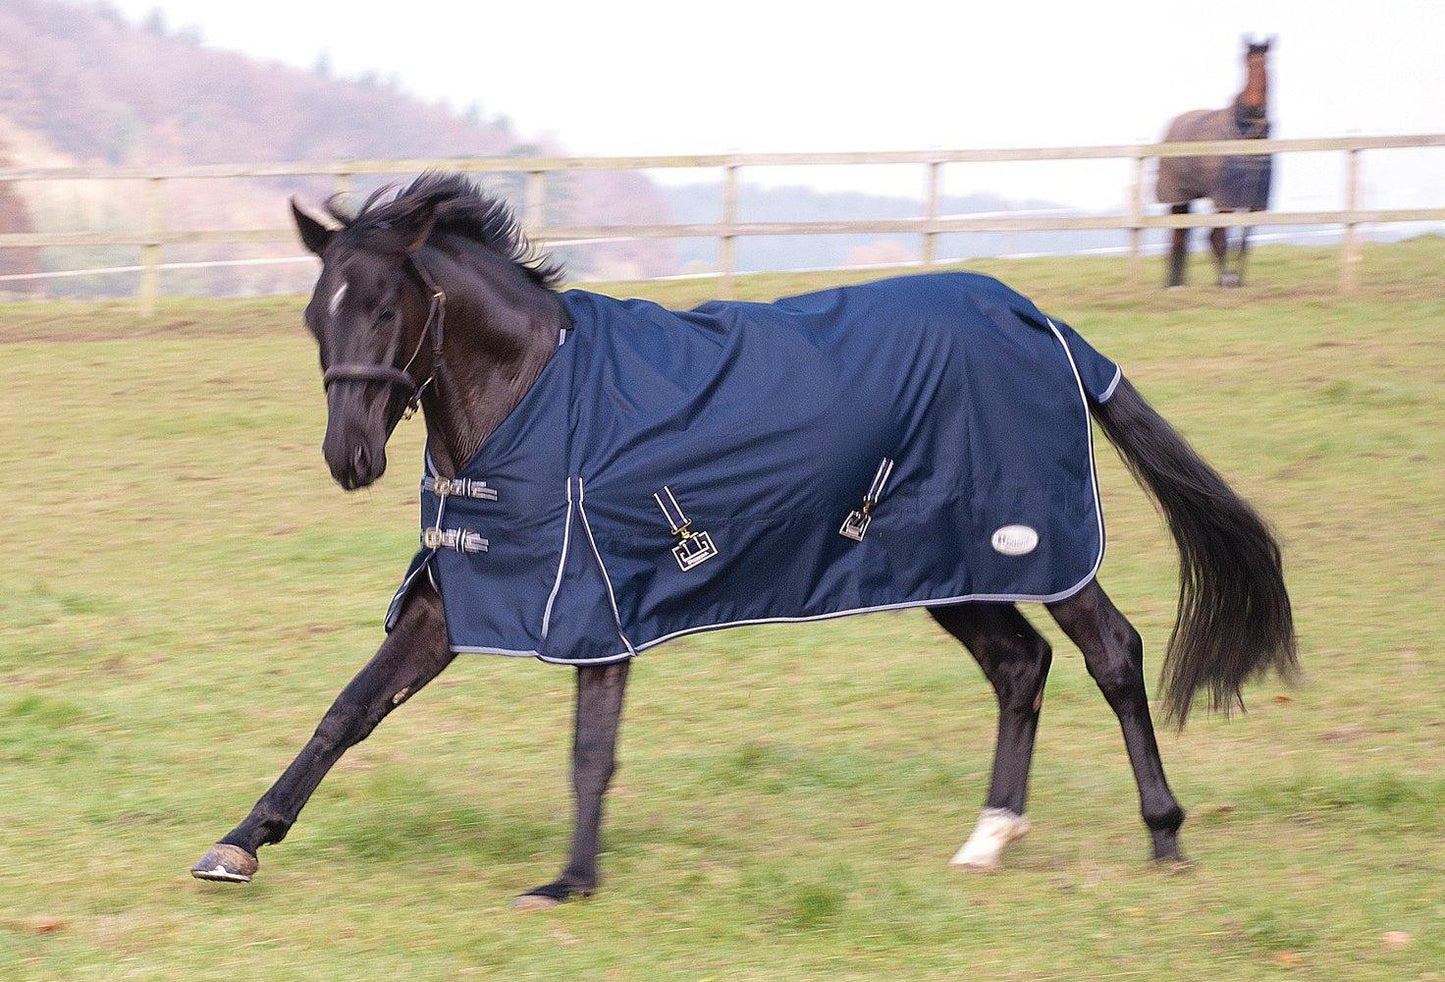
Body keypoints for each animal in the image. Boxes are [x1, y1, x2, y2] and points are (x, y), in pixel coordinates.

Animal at [191, 174, 1296, 908]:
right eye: (314, 314)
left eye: (385, 305)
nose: (349, 456)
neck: (534, 395)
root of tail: (1041, 321)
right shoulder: (458, 597)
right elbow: (347, 713)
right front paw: (239, 844)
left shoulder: (593, 599)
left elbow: (590, 748)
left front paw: (569, 881)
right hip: (941, 560)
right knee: (1018, 664)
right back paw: (987, 838)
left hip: (1034, 542)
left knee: (1109, 650)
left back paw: (1163, 838)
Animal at [1157, 36, 1275, 288]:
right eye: (1246, 64)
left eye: (1266, 65)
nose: (1255, 108)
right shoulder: (1224, 199)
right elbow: (1219, 238)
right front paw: (1227, 281)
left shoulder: (1254, 198)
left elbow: (1245, 239)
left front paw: (1238, 280)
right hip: (1178, 197)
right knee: (1185, 237)